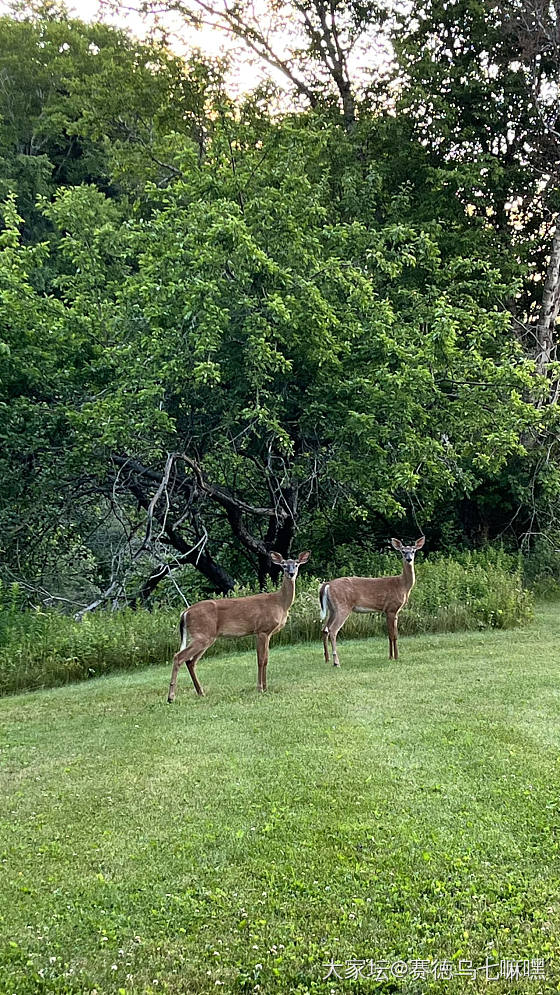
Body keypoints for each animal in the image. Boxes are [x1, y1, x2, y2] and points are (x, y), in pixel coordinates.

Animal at [168, 548, 312, 704]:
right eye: (284, 565)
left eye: (296, 564)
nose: (291, 573)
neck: (280, 603)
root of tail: (185, 613)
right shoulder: (262, 630)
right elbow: (260, 660)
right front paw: (260, 688)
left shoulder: (268, 633)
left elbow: (266, 660)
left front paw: (266, 687)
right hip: (202, 635)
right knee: (178, 657)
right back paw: (171, 697)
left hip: (206, 637)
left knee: (190, 661)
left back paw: (201, 692)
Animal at [320, 536, 424, 668]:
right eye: (403, 551)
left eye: (413, 551)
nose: (409, 559)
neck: (402, 585)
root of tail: (327, 584)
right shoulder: (391, 608)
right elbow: (393, 635)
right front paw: (395, 657)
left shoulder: (392, 611)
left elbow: (392, 634)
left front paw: (391, 656)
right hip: (342, 607)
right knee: (333, 630)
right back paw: (336, 662)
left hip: (332, 609)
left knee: (325, 629)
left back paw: (327, 659)